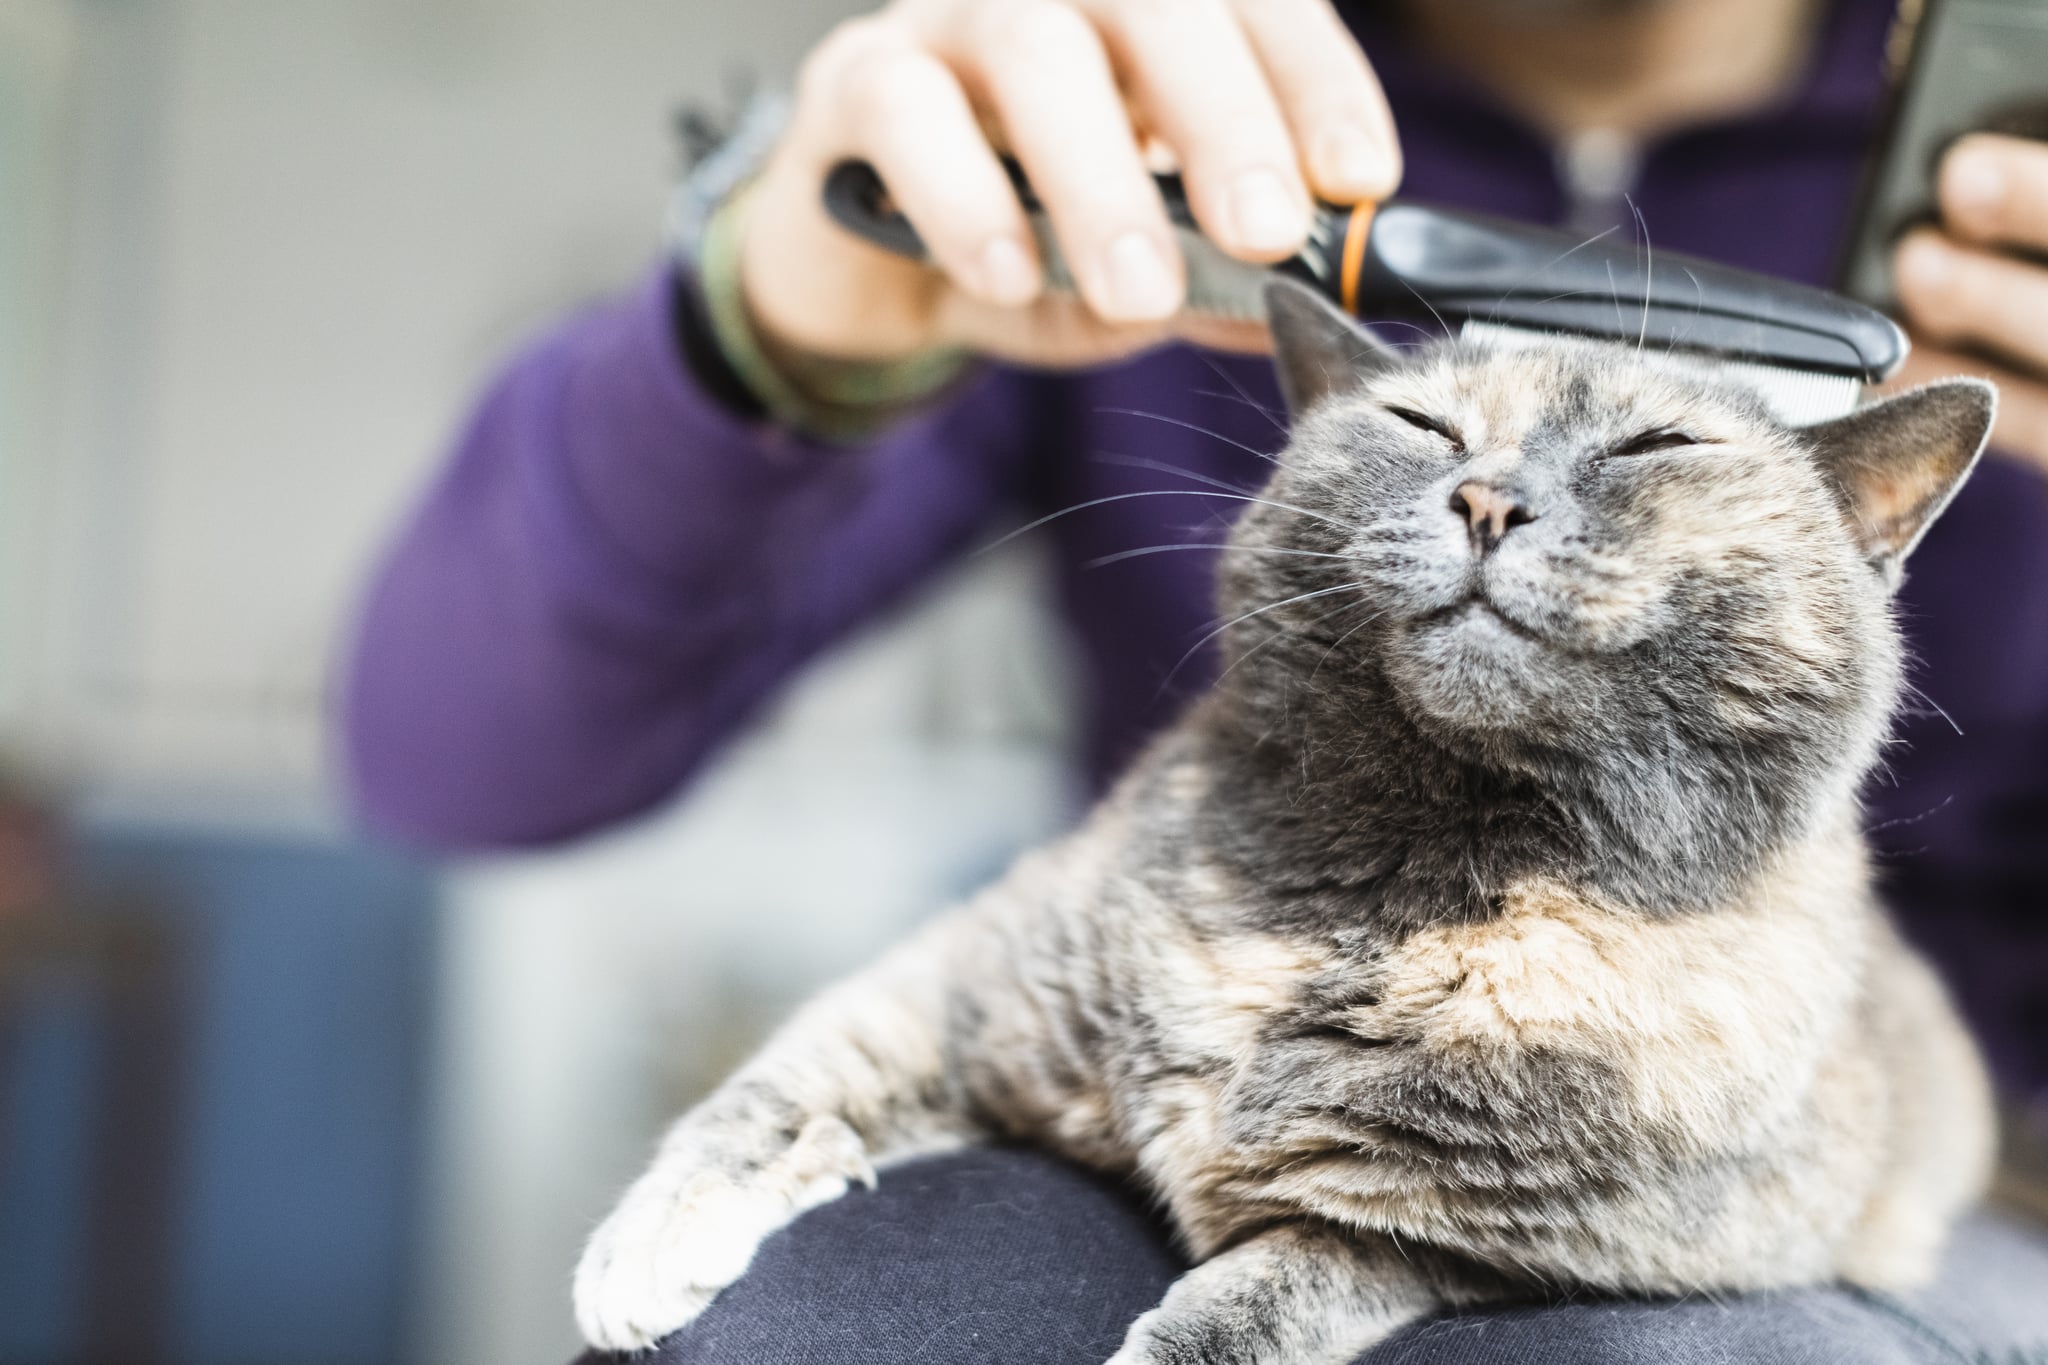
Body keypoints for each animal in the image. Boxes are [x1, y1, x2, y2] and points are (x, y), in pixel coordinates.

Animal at [569, 280, 1990, 1365]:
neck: (1404, 880)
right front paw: (646, 1249)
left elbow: (1256, 1303)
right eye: (1423, 424)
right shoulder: (969, 982)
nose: (1486, 498)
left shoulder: (1459, 1242)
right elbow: (780, 1083)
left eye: (1653, 449)